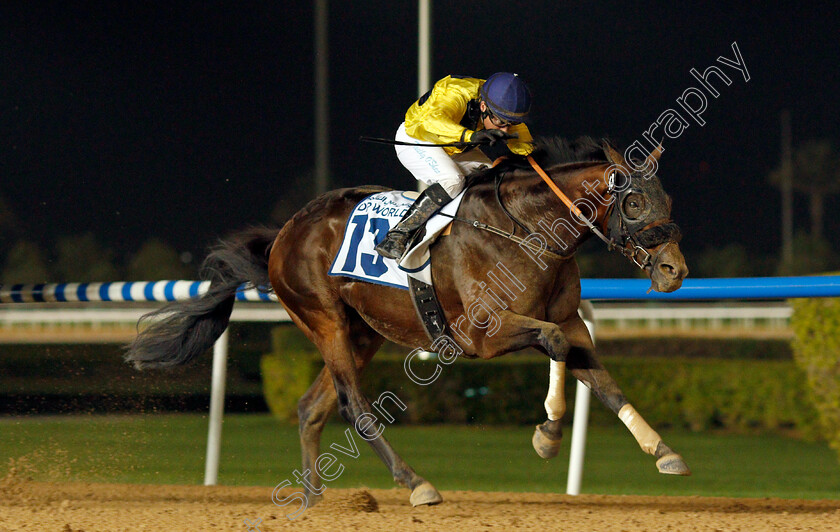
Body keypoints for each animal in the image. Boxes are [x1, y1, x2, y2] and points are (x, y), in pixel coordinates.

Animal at [124, 136, 688, 508]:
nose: (674, 271)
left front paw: (664, 452)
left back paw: (311, 498)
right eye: (634, 200)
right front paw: (547, 435)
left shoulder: (570, 320)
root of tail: (284, 233)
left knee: (309, 407)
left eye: (668, 199)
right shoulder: (482, 333)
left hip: (363, 332)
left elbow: (603, 380)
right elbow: (553, 344)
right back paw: (416, 484)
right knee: (352, 406)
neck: (527, 229)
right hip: (324, 320)